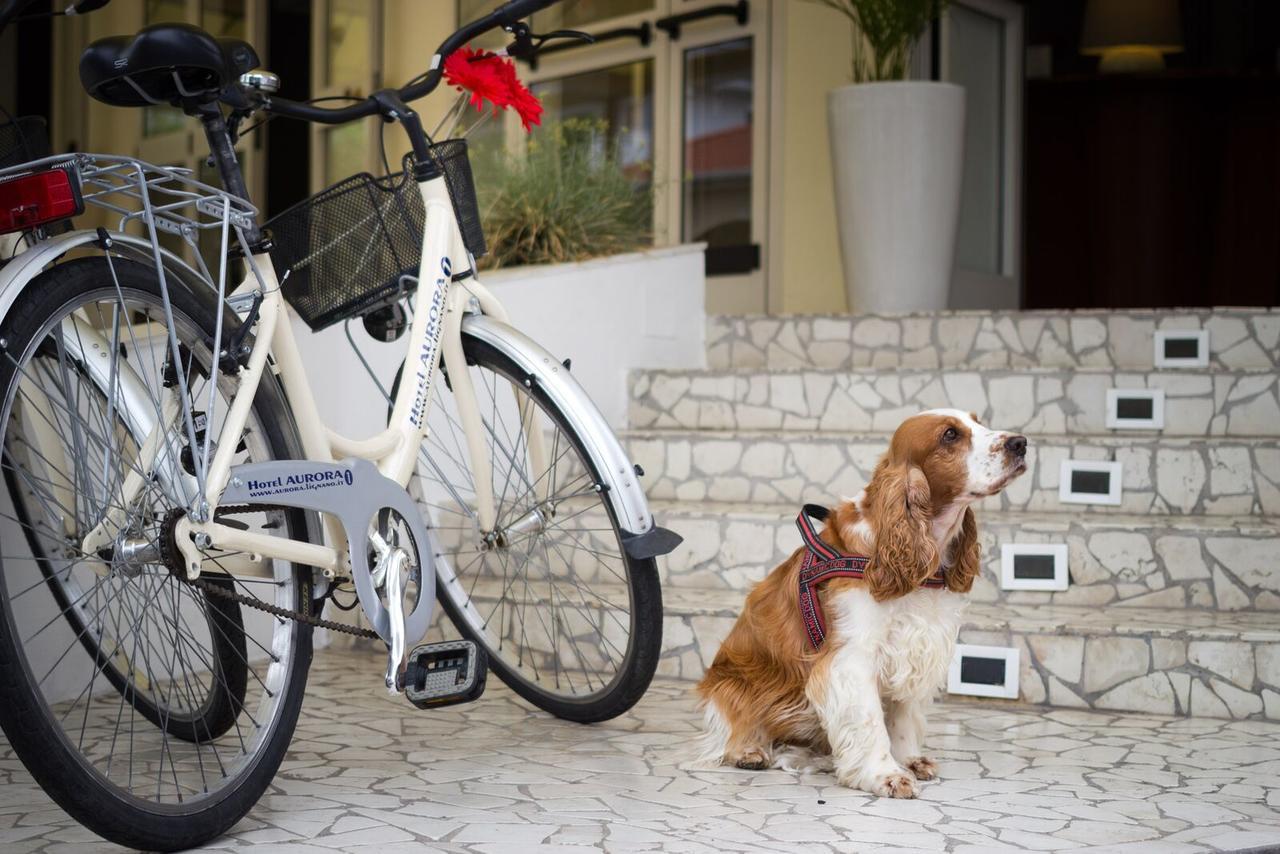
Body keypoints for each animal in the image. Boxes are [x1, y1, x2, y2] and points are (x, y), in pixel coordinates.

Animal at [696, 409, 1024, 798]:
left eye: (978, 421)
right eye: (949, 435)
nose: (1021, 443)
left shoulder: (917, 647)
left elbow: (903, 717)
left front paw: (909, 760)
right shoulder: (852, 657)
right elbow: (869, 722)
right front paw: (885, 775)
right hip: (731, 684)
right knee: (733, 729)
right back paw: (749, 750)